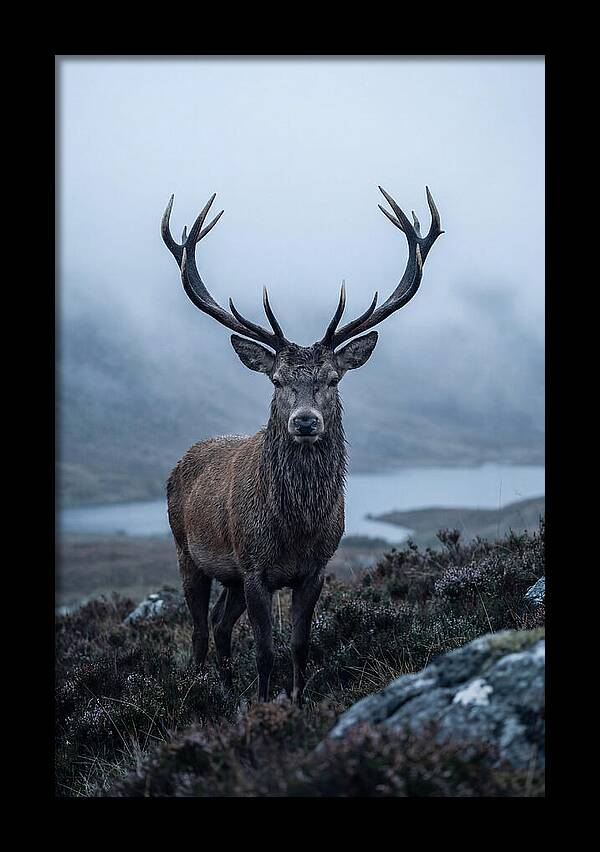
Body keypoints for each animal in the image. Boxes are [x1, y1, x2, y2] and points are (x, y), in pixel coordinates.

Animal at [161, 185, 443, 704]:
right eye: (277, 380)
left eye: (332, 378)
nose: (306, 421)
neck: (295, 528)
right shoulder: (254, 568)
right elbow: (264, 651)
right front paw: (264, 703)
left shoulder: (313, 569)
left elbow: (298, 645)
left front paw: (295, 700)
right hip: (187, 551)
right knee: (198, 629)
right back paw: (202, 688)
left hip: (229, 575)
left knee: (220, 623)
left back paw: (227, 688)